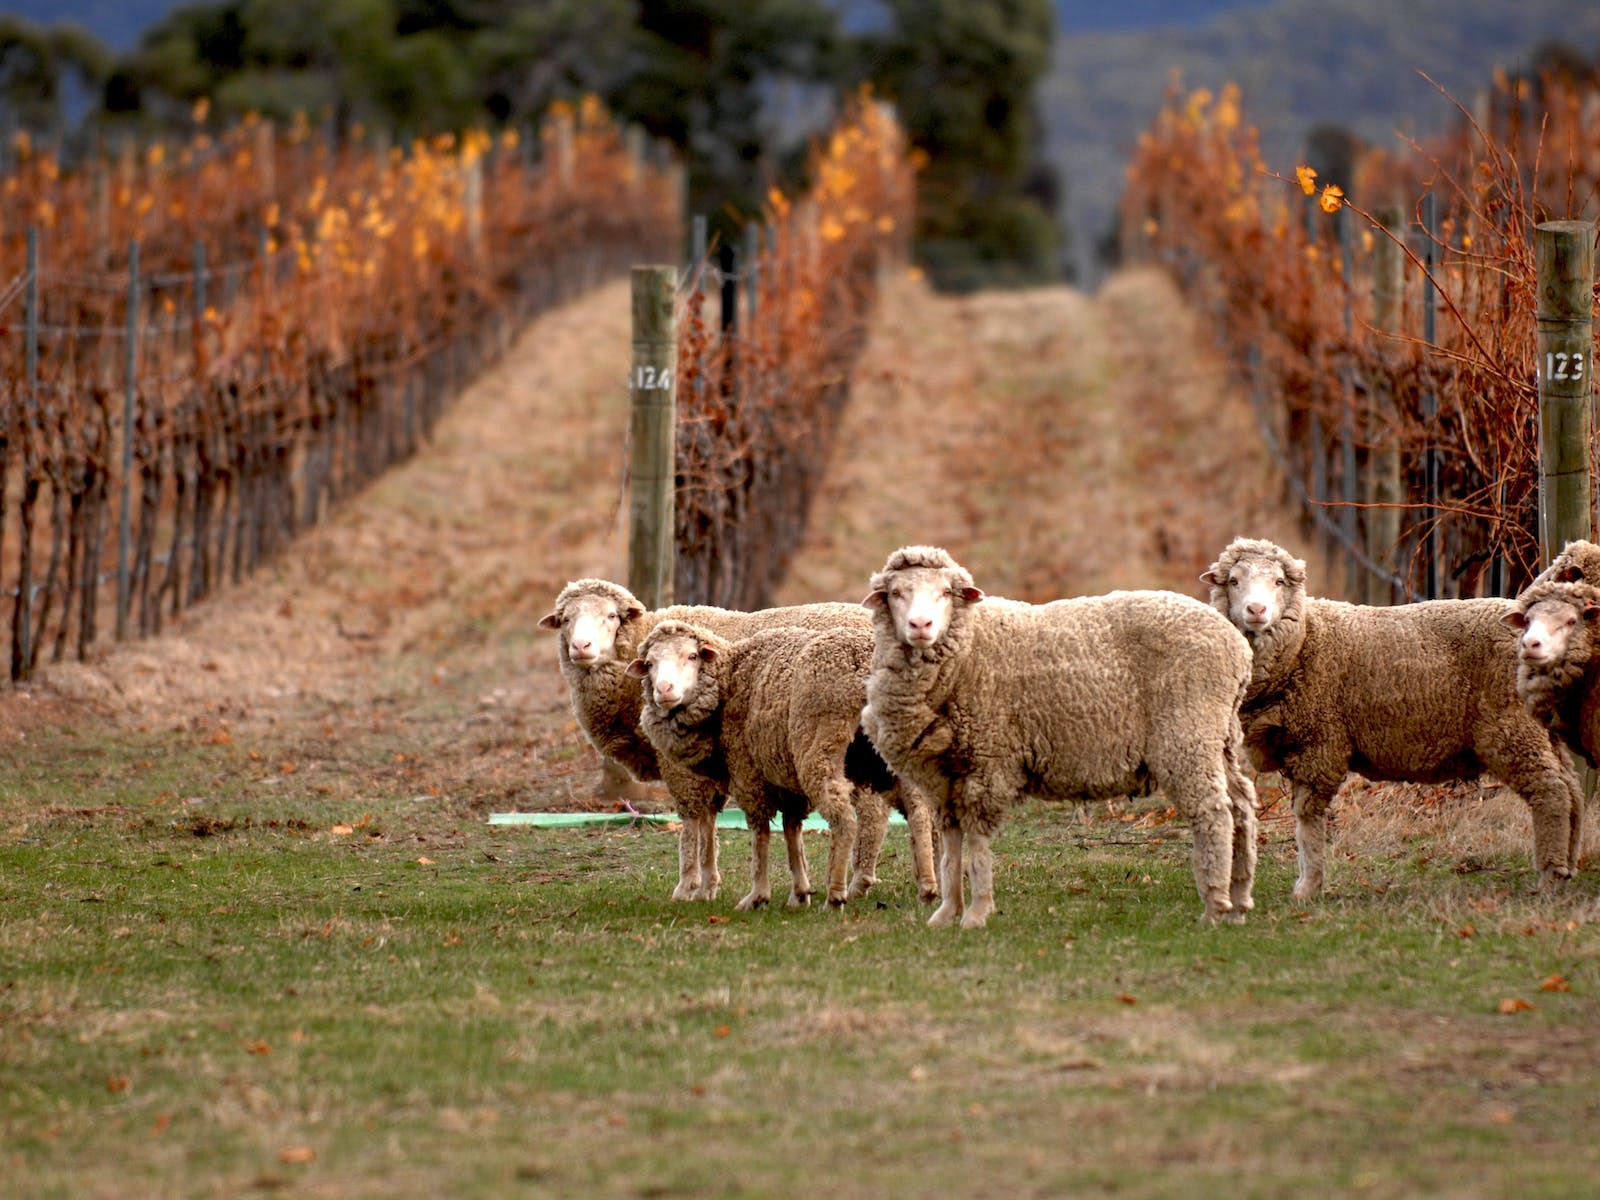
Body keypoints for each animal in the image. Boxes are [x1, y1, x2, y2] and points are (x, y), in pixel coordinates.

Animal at [538, 579, 871, 901]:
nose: (581, 646)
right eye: (566, 619)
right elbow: (709, 819)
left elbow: (691, 819)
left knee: (869, 811)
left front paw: (687, 885)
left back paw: (858, 882)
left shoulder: (682, 765)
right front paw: (708, 884)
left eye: (610, 616)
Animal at [626, 620, 938, 909]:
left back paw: (836, 895)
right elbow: (791, 832)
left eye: (692, 656)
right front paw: (799, 893)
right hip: (886, 750)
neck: (729, 680)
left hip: (819, 745)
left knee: (844, 819)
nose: (664, 689)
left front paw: (757, 896)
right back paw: (927, 888)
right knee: (918, 811)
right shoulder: (786, 779)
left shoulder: (749, 774)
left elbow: (761, 835)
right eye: (650, 663)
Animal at [860, 545, 1259, 930]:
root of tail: (1237, 645)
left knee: (1213, 812)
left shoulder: (987, 761)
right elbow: (951, 847)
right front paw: (946, 913)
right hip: (1218, 736)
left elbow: (977, 845)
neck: (968, 648)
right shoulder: (944, 778)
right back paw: (1239, 900)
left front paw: (976, 913)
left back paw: (1215, 904)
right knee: (1240, 806)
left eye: (945, 593)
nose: (920, 624)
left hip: (1187, 731)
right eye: (895, 593)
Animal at [1202, 536, 1584, 899]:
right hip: (1540, 728)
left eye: (1279, 581)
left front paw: (1308, 887)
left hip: (1512, 728)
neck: (1305, 641)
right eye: (1234, 580)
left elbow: (1307, 818)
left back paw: (1550, 877)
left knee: (1551, 791)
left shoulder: (1319, 745)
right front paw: (1306, 883)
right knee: (1572, 788)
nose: (1256, 609)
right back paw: (1568, 865)